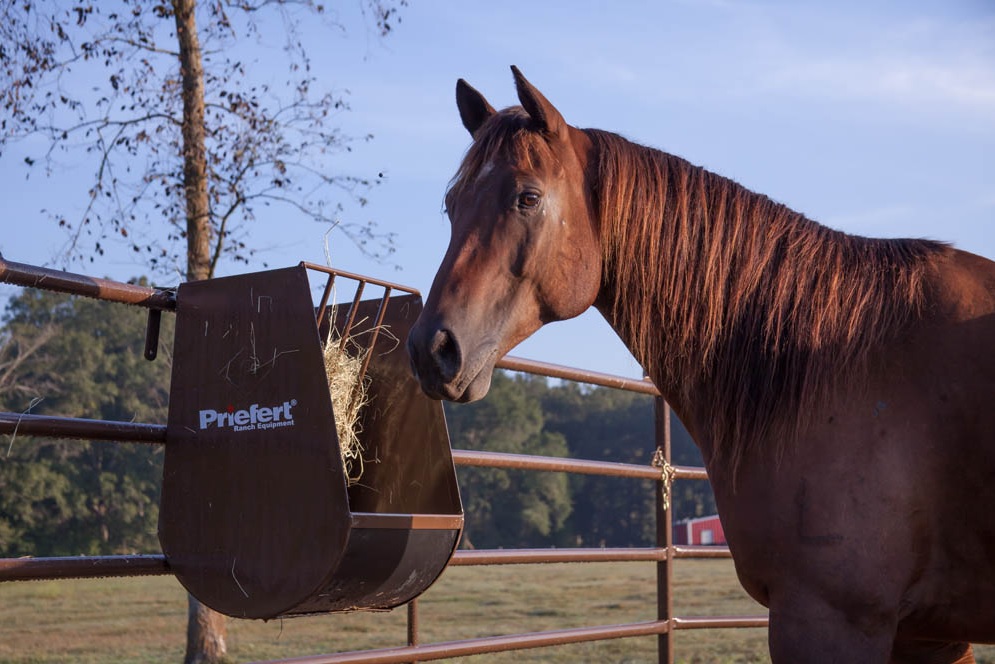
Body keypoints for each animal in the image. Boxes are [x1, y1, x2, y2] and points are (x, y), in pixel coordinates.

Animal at [408, 67, 995, 664]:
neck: (836, 360)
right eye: (452, 203)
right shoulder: (928, 635)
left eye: (527, 197)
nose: (432, 349)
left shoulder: (830, 620)